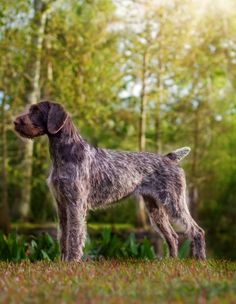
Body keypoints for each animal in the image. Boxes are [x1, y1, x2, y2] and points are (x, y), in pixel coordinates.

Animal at [14, 101, 206, 262]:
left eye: (36, 111)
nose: (15, 122)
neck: (63, 154)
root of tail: (169, 158)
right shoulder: (61, 204)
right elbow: (63, 236)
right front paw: (62, 263)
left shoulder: (76, 204)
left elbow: (75, 236)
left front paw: (72, 262)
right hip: (156, 209)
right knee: (172, 236)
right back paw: (170, 262)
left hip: (174, 203)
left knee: (197, 231)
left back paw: (200, 261)